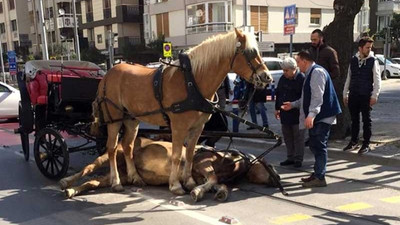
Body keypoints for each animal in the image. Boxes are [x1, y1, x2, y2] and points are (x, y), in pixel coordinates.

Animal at [60, 137, 282, 202]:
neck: (229, 160)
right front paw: (197, 192)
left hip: (120, 175)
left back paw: (72, 191)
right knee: (88, 169)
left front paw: (219, 193)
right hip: (111, 154)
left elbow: (218, 184)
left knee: (93, 182)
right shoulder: (202, 163)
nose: (278, 179)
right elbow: (212, 178)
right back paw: (65, 181)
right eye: (270, 165)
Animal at [90, 27, 272, 193]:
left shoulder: (198, 127)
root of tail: (108, 74)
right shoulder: (178, 126)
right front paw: (175, 184)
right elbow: (177, 156)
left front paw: (189, 181)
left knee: (128, 146)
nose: (267, 77)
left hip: (131, 119)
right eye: (248, 52)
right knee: (112, 148)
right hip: (114, 119)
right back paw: (116, 182)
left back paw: (135, 177)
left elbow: (189, 153)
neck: (192, 81)